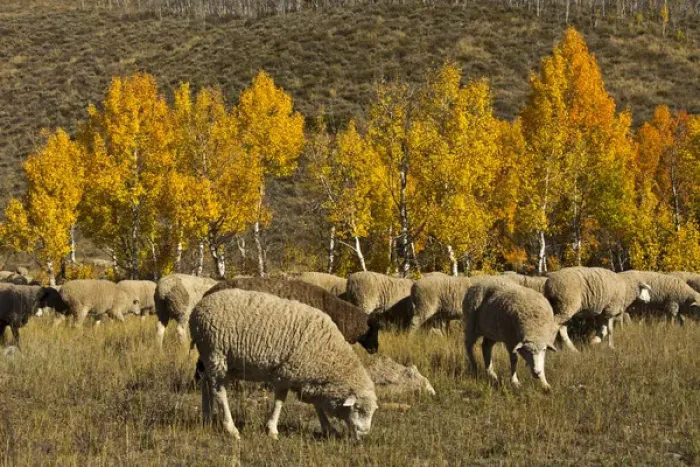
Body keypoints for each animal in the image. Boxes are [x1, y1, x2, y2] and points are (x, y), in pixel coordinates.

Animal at [190, 288, 378, 440]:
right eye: (359, 409)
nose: (364, 435)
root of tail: (197, 307)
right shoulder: (286, 372)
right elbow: (280, 402)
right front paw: (272, 430)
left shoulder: (307, 376)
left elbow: (316, 404)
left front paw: (329, 428)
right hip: (216, 354)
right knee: (219, 390)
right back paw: (231, 429)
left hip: (209, 356)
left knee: (206, 382)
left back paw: (207, 417)